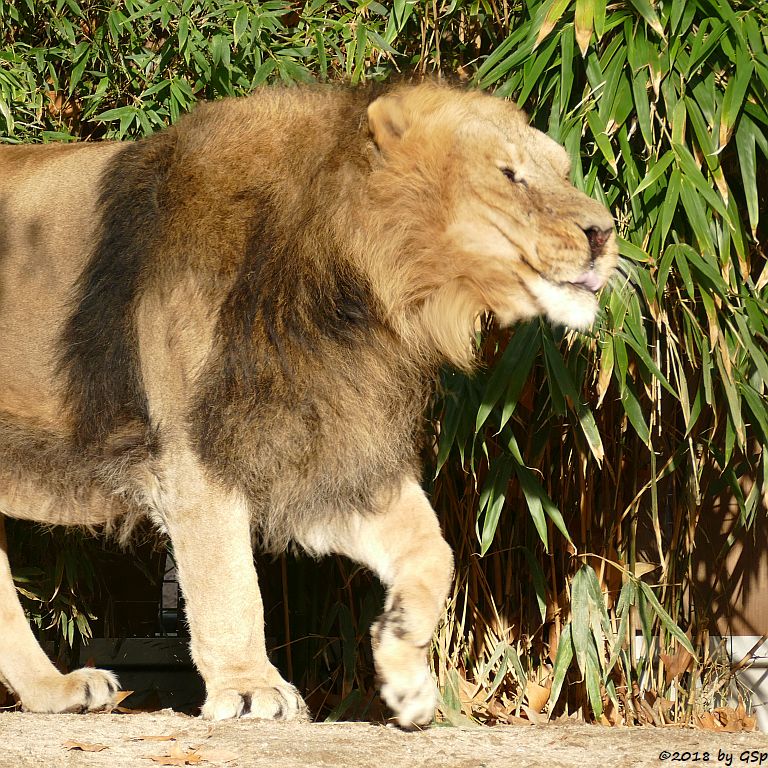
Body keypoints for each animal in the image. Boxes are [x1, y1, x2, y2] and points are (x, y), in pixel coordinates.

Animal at [0, 82, 616, 728]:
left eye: (563, 171)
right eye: (509, 175)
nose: (606, 232)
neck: (362, 300)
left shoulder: (321, 449)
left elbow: (433, 549)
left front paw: (404, 668)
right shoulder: (195, 452)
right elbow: (229, 580)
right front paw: (251, 689)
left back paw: (56, 691)